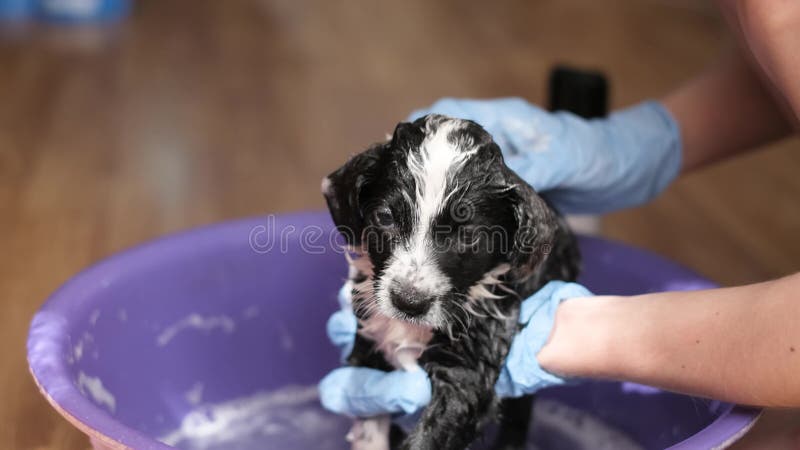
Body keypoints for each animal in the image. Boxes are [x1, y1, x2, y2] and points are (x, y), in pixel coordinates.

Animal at [322, 115, 580, 450]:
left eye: (468, 235)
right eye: (385, 218)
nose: (409, 302)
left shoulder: (468, 366)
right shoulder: (371, 338)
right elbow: (369, 425)